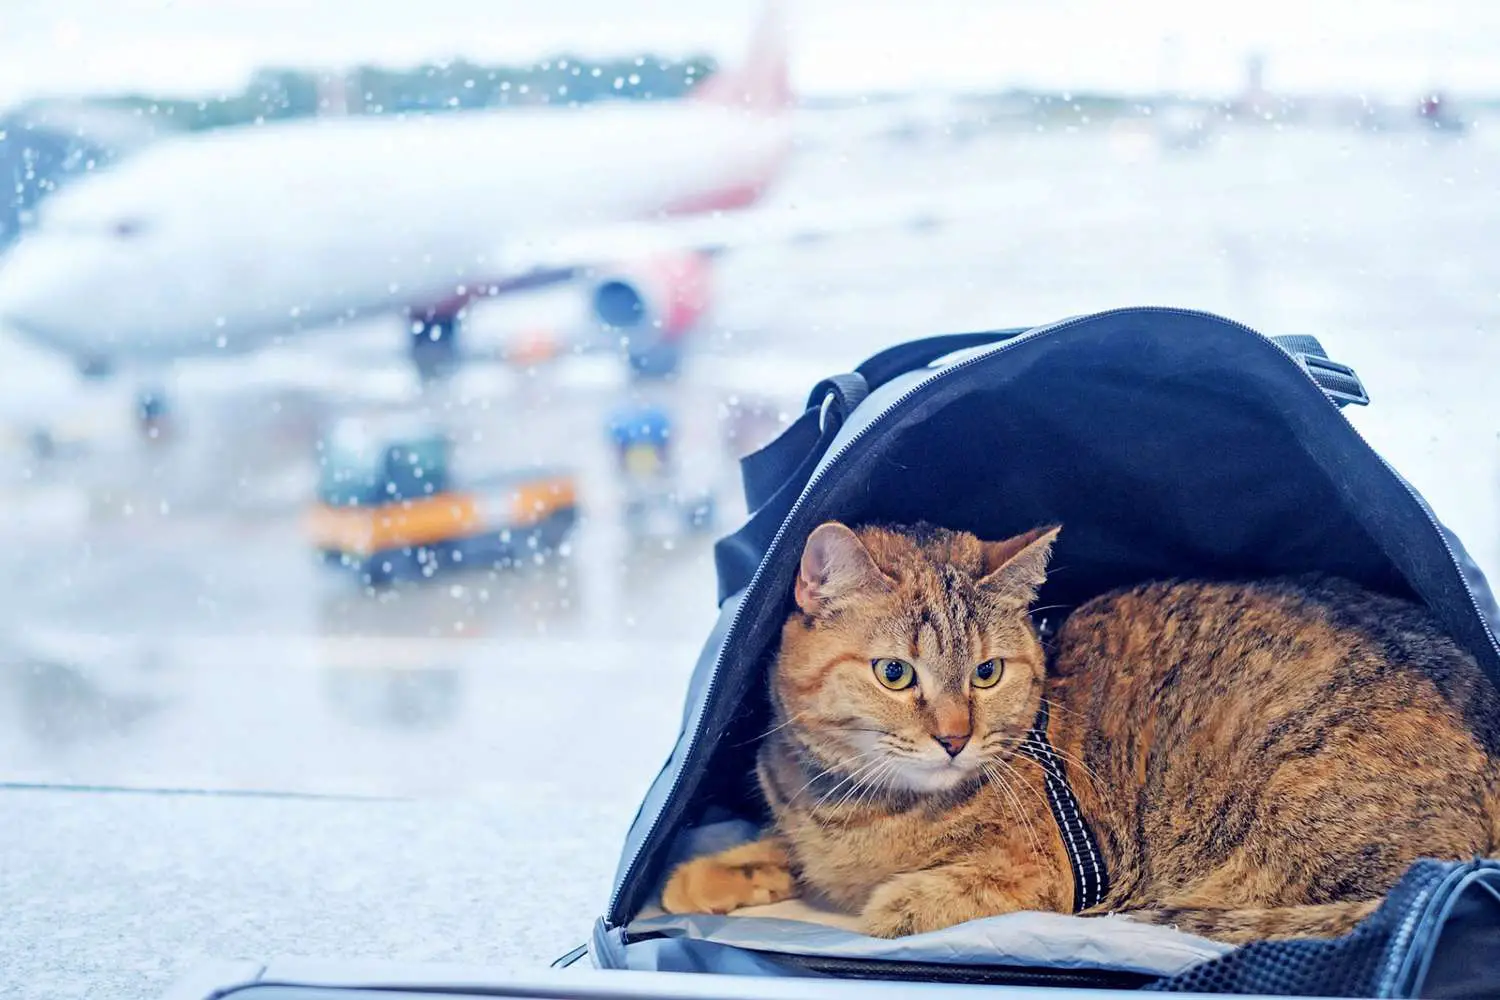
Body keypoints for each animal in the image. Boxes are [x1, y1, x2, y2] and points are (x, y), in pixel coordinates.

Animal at [663, 524, 1500, 947]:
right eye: (895, 674)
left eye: (988, 672)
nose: (954, 738)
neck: (855, 807)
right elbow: (780, 849)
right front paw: (708, 874)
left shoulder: (1058, 872)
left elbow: (945, 890)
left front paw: (898, 901)